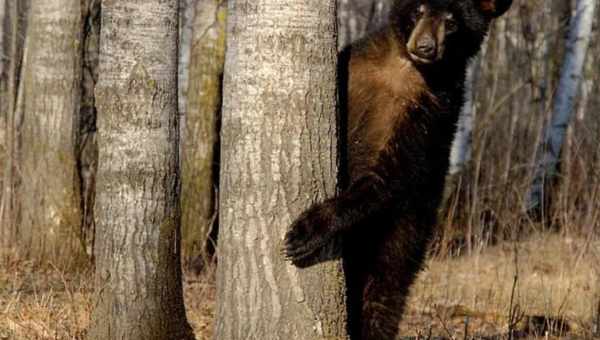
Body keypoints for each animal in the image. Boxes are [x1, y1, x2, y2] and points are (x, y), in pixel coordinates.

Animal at [284, 0, 510, 338]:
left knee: (383, 295)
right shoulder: (354, 68)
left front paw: (306, 231)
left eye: (452, 22)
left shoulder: (428, 113)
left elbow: (389, 175)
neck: (405, 68)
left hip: (403, 235)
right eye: (419, 10)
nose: (425, 47)